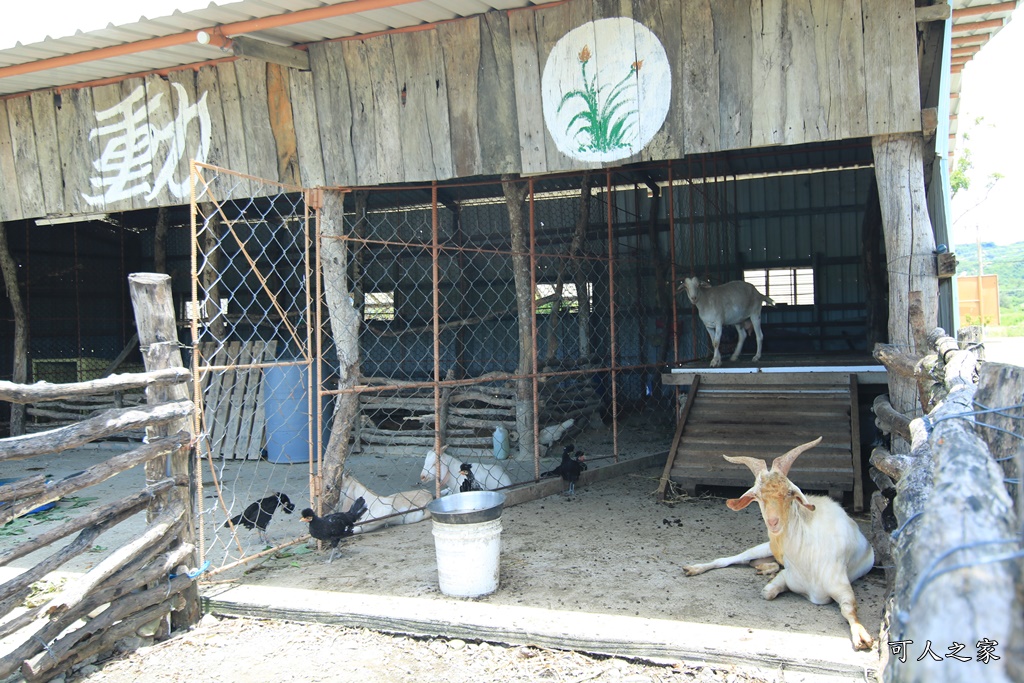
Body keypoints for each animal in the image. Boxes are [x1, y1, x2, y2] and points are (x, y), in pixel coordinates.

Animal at [684, 438, 876, 651]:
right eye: (757, 496)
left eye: (789, 493)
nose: (773, 522)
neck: (806, 557)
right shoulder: (787, 576)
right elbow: (767, 592)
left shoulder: (841, 585)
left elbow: (850, 609)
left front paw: (862, 636)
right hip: (763, 547)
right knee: (730, 560)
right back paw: (695, 568)